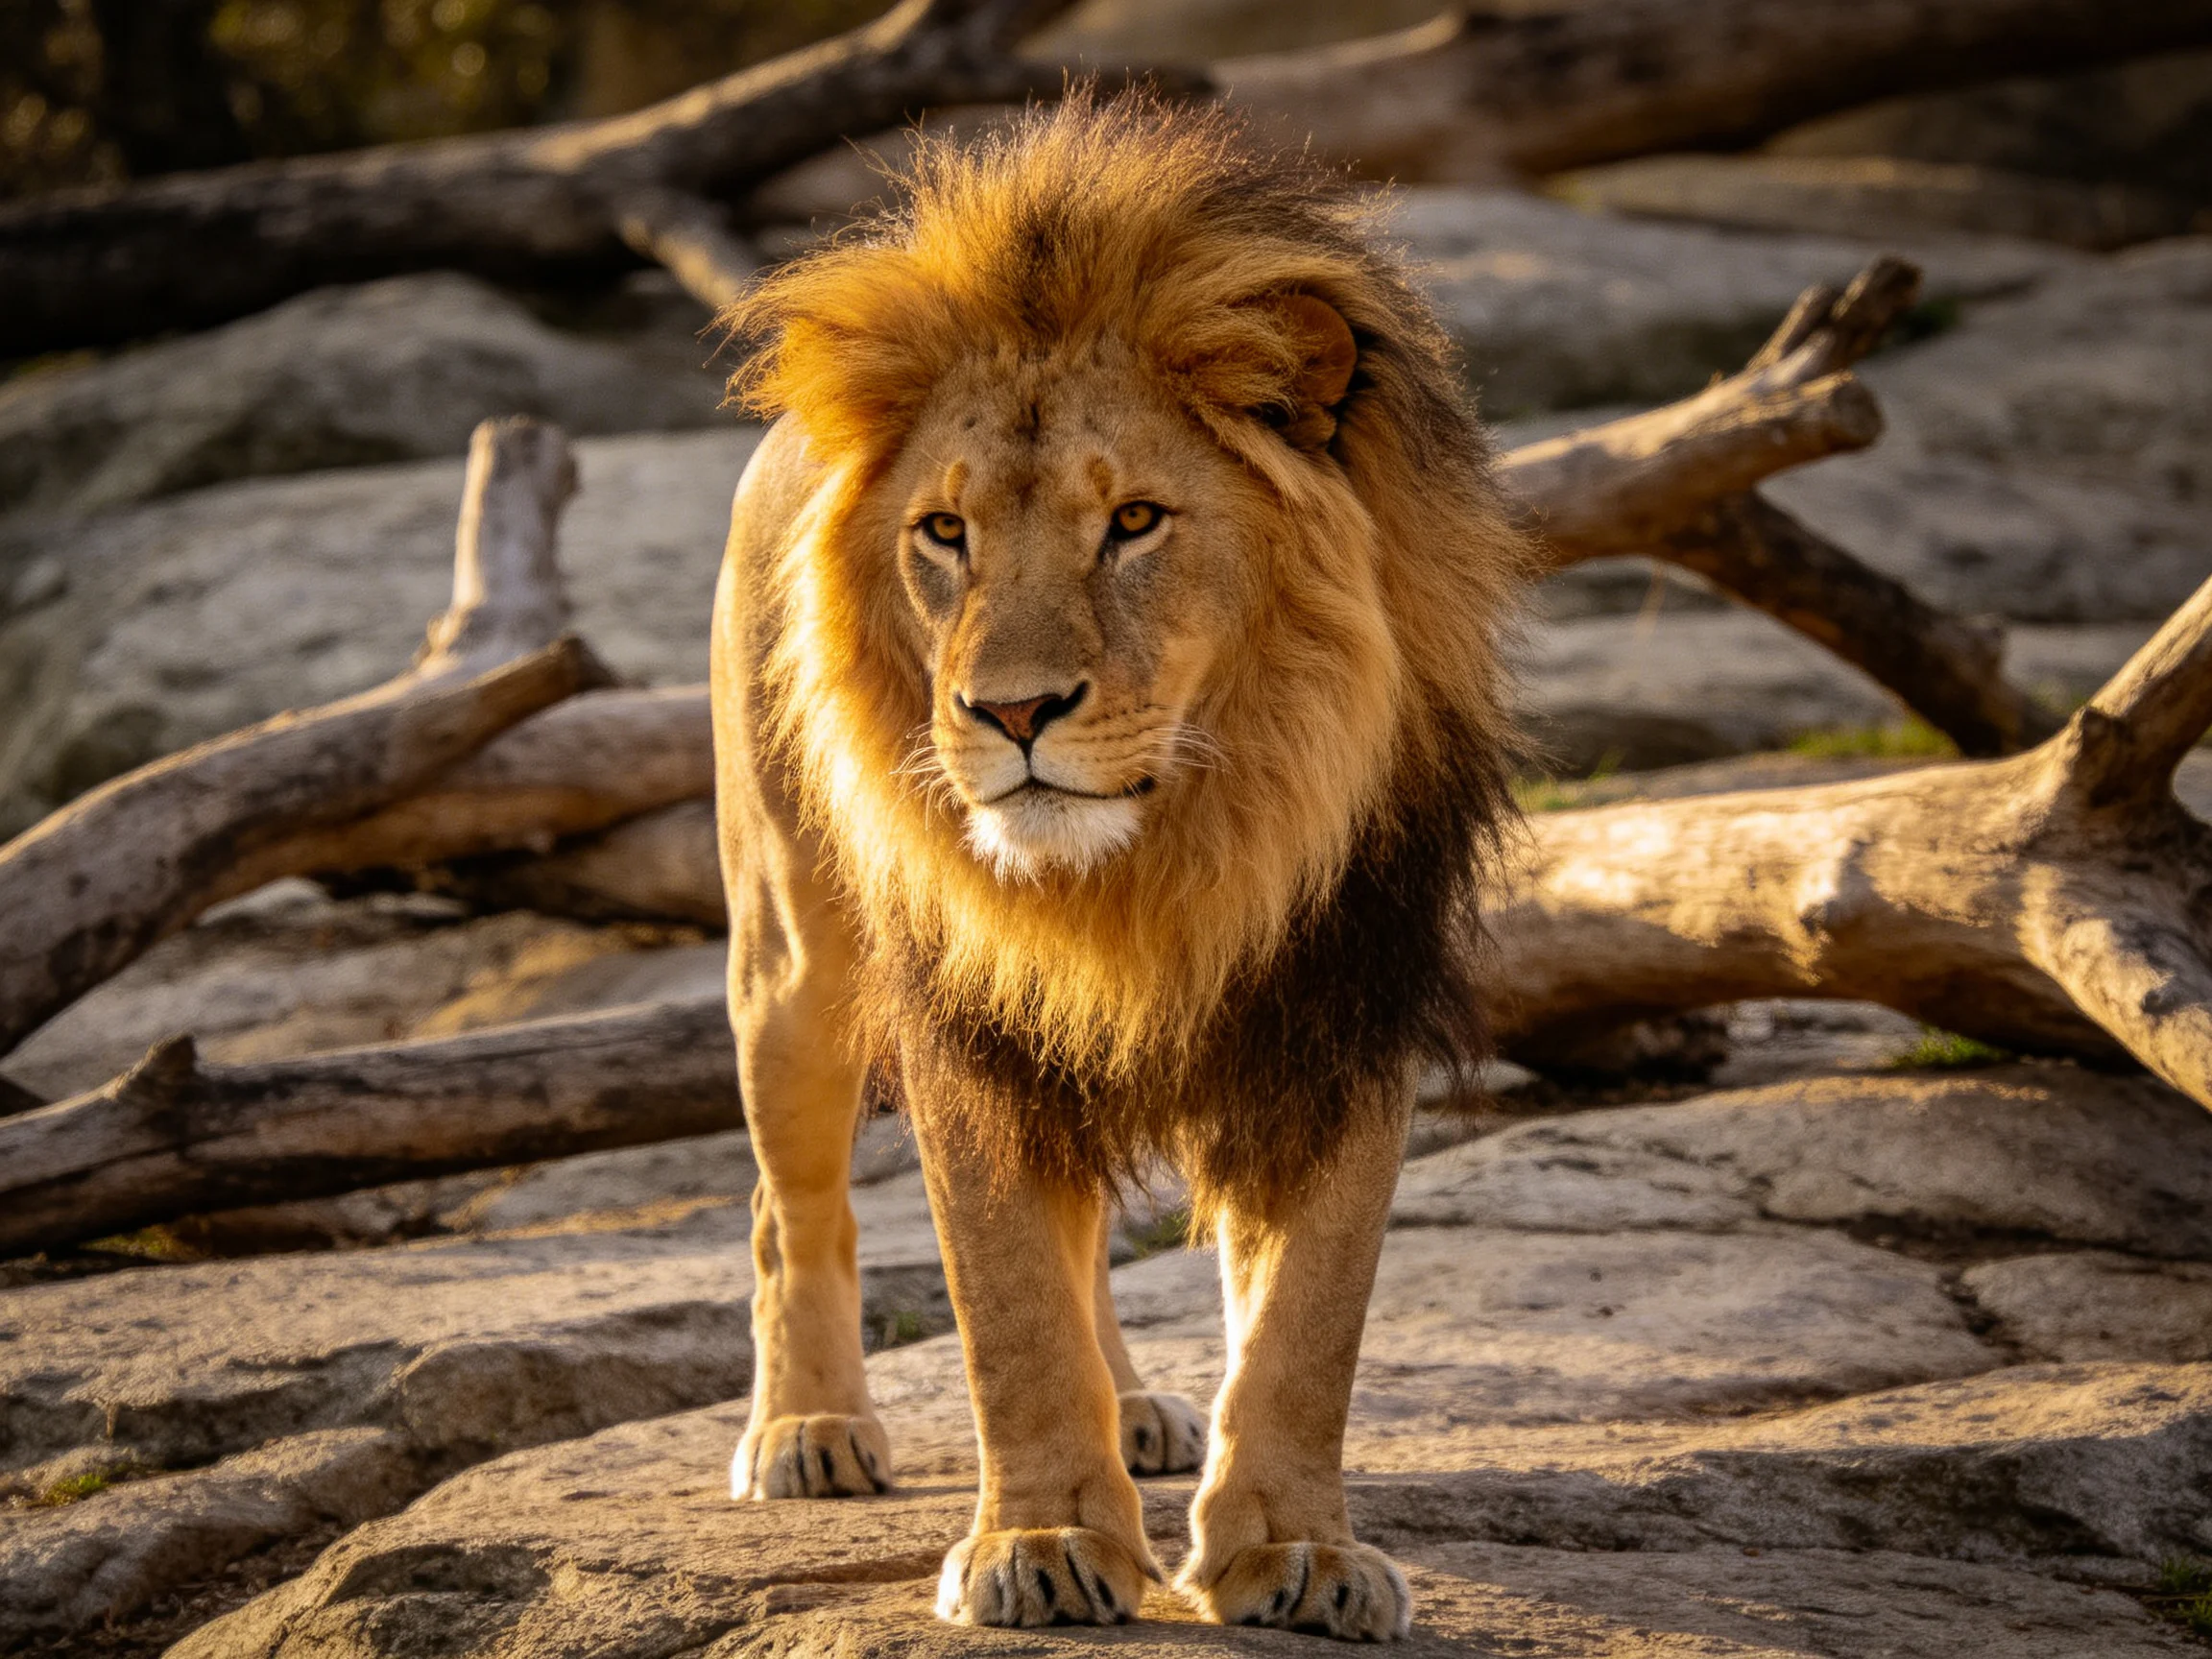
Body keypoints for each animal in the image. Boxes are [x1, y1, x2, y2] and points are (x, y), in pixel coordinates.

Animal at [709, 91, 1526, 1641]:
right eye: (946, 533)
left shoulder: (1342, 996)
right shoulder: (967, 1017)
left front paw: (1295, 1550)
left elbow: (1309, 1317)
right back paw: (809, 1429)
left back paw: (1138, 1409)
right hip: (791, 949)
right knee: (795, 1208)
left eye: (1135, 521)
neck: (1164, 854)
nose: (1011, 713)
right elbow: (1007, 1308)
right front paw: (1036, 1543)